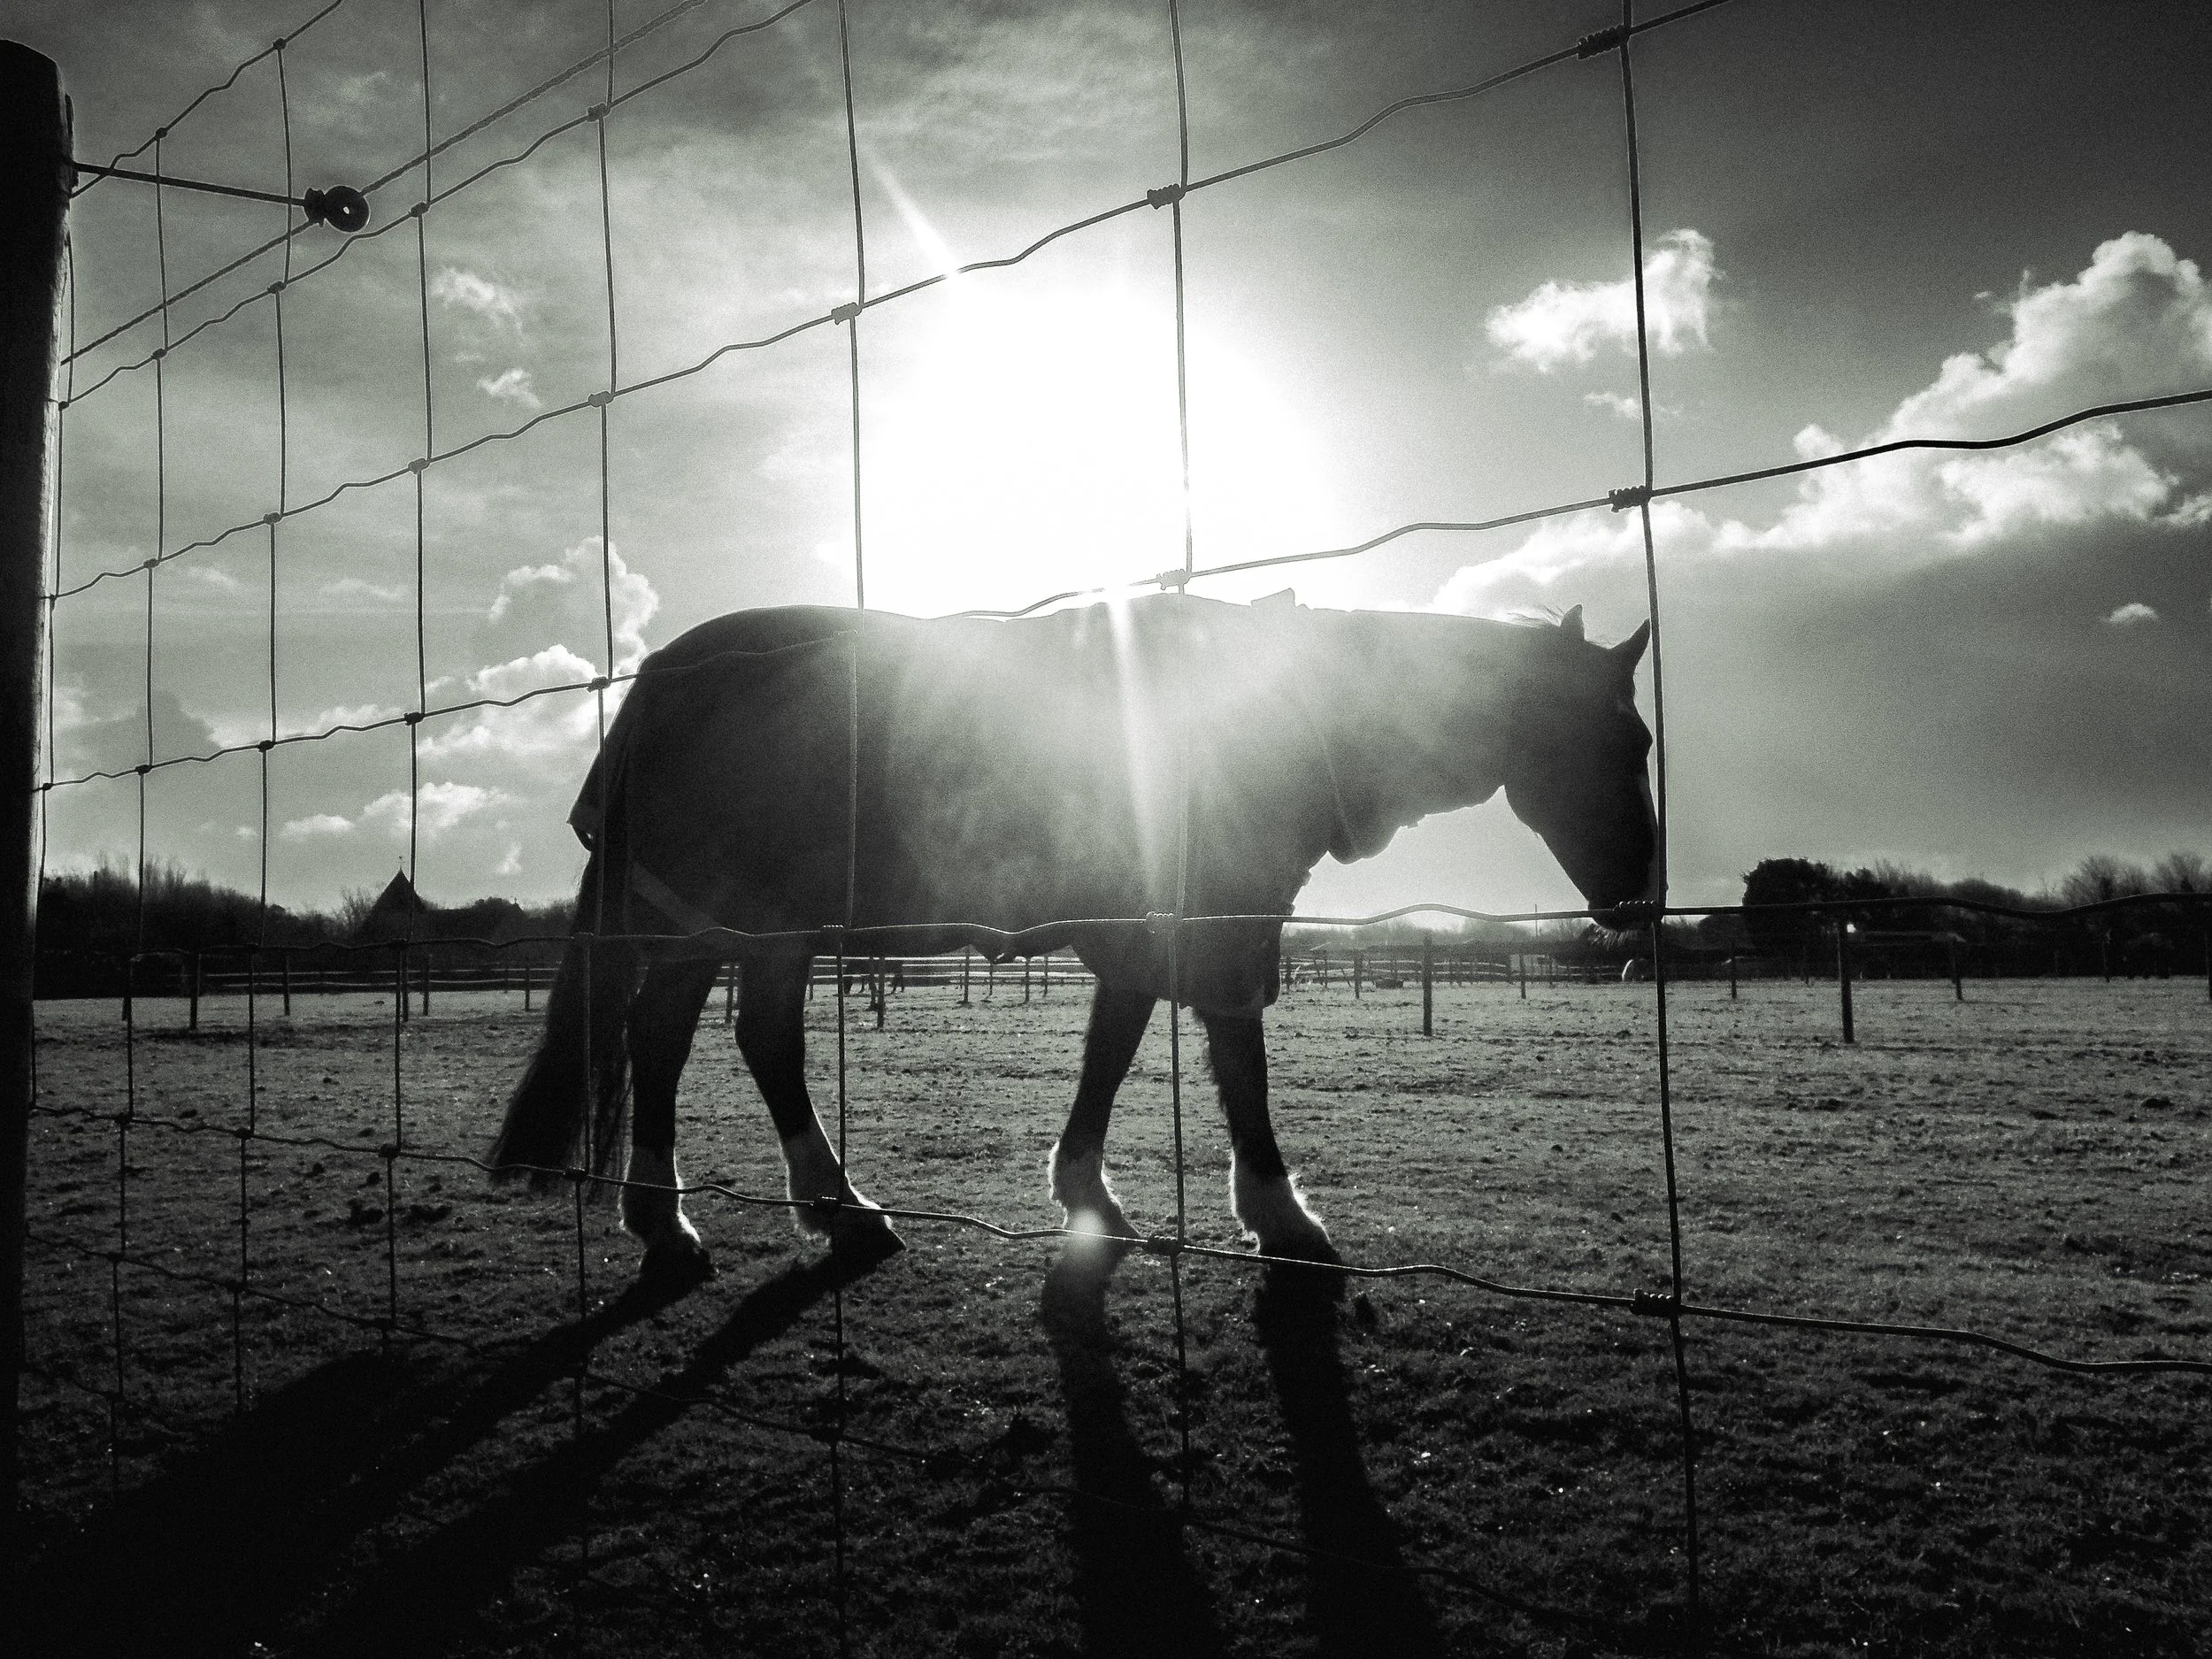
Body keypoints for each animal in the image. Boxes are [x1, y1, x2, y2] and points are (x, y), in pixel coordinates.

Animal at [489, 593, 1661, 1282]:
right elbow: (1235, 1057)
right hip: (753, 920)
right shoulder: (1219, 911)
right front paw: (1278, 1214)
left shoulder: (1144, 923)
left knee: (680, 1038)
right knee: (730, 1041)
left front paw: (1088, 1192)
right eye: (1623, 739)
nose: (1640, 899)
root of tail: (657, 681)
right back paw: (799, 1209)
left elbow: (1115, 1046)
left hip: (733, 926)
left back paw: (700, 1214)